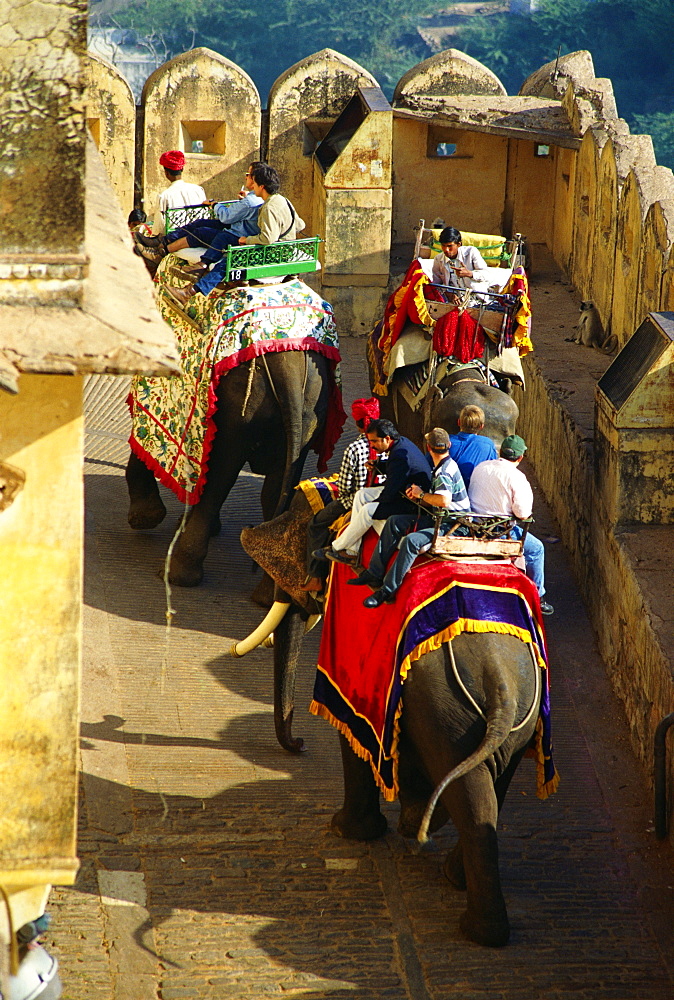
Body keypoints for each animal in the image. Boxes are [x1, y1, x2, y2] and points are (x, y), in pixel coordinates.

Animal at [234, 490, 548, 944]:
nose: (299, 745)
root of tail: (501, 685)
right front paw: (404, 821)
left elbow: (350, 729)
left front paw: (347, 830)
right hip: (516, 719)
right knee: (491, 790)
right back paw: (451, 872)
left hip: (447, 714)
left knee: (473, 800)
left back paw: (476, 927)